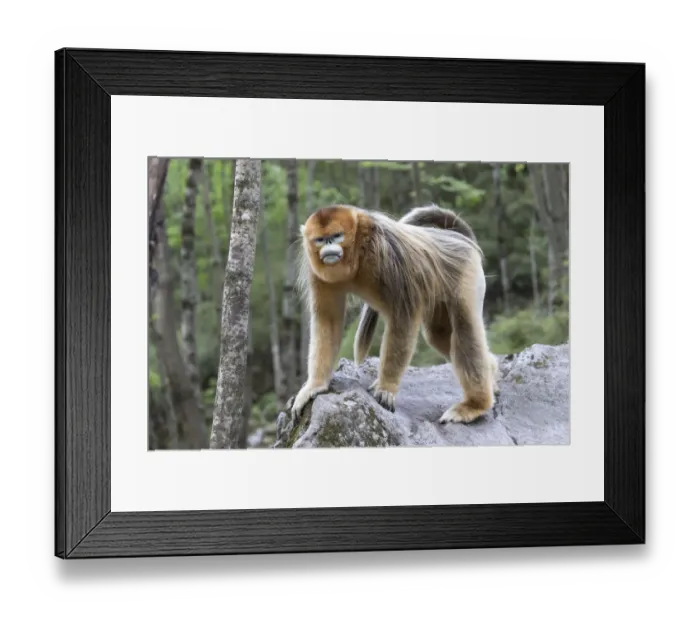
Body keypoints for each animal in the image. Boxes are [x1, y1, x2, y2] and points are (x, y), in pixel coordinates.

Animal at [290, 202, 500, 426]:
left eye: (336, 236)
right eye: (320, 240)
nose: (328, 247)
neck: (358, 253)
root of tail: (455, 237)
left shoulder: (388, 254)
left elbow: (404, 317)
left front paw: (386, 387)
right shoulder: (317, 273)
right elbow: (328, 321)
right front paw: (315, 385)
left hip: (466, 274)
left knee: (464, 328)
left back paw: (475, 405)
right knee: (439, 335)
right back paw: (491, 372)